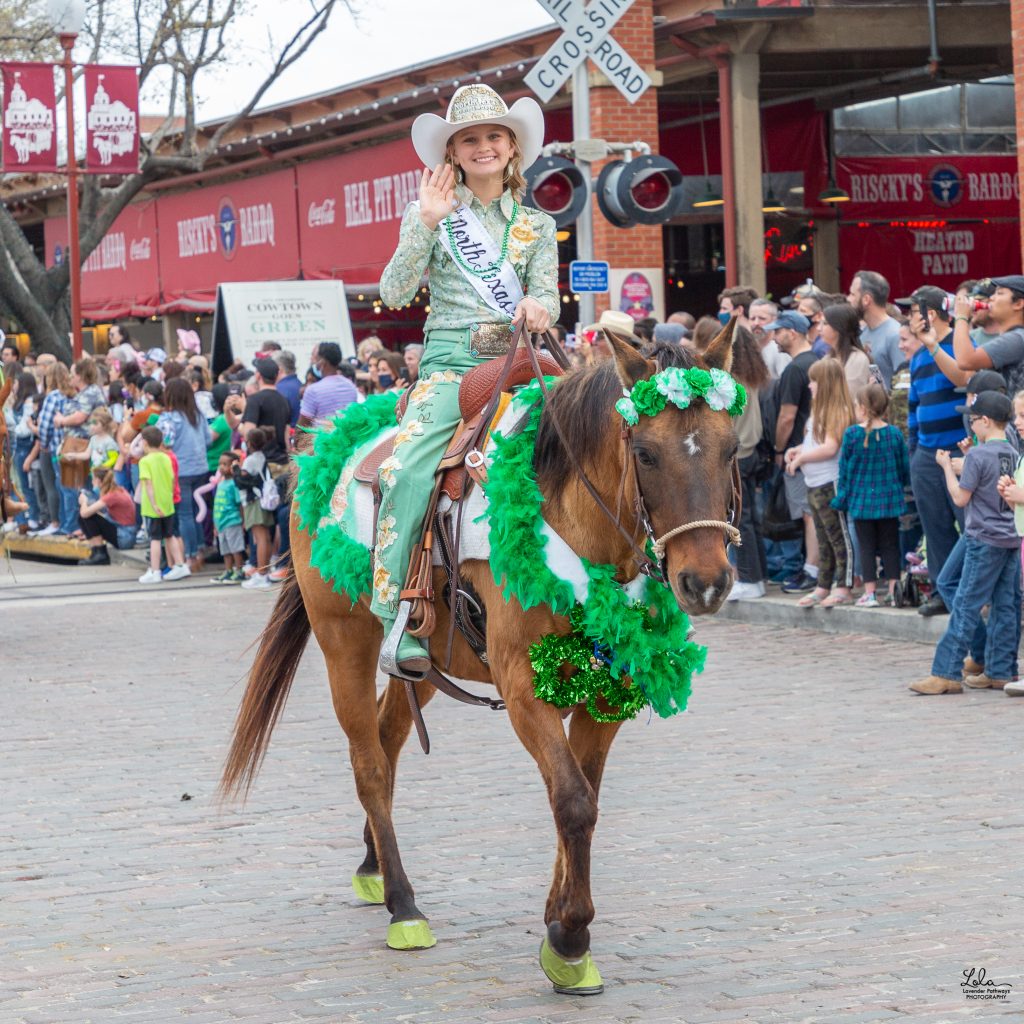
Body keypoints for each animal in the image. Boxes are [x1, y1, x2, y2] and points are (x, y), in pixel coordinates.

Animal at [220, 321, 741, 991]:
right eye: (646, 453)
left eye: (732, 449)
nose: (706, 583)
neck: (572, 519)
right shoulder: (522, 688)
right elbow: (573, 801)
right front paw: (570, 941)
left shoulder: (606, 691)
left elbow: (582, 794)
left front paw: (557, 917)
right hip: (344, 643)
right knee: (368, 762)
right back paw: (404, 906)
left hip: (425, 663)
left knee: (388, 742)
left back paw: (373, 865)